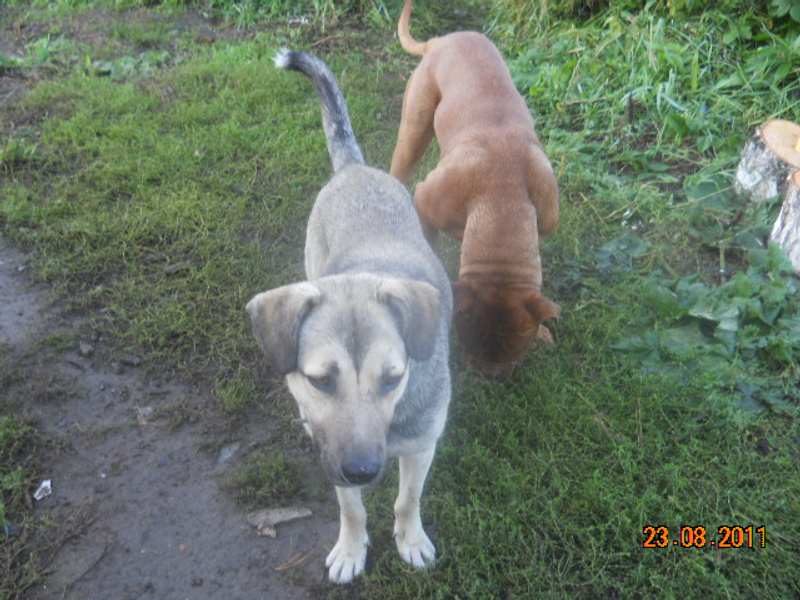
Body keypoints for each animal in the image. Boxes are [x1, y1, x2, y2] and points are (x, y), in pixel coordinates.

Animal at [246, 50, 452, 584]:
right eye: (320, 380)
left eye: (393, 377)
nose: (362, 470)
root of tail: (355, 168)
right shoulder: (329, 450)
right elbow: (351, 508)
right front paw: (351, 546)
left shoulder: (421, 447)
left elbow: (407, 499)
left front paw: (410, 539)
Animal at [389, 0, 561, 378]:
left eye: (513, 356)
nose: (491, 375)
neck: (502, 201)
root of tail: (440, 40)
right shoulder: (426, 201)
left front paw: (543, 329)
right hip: (414, 131)